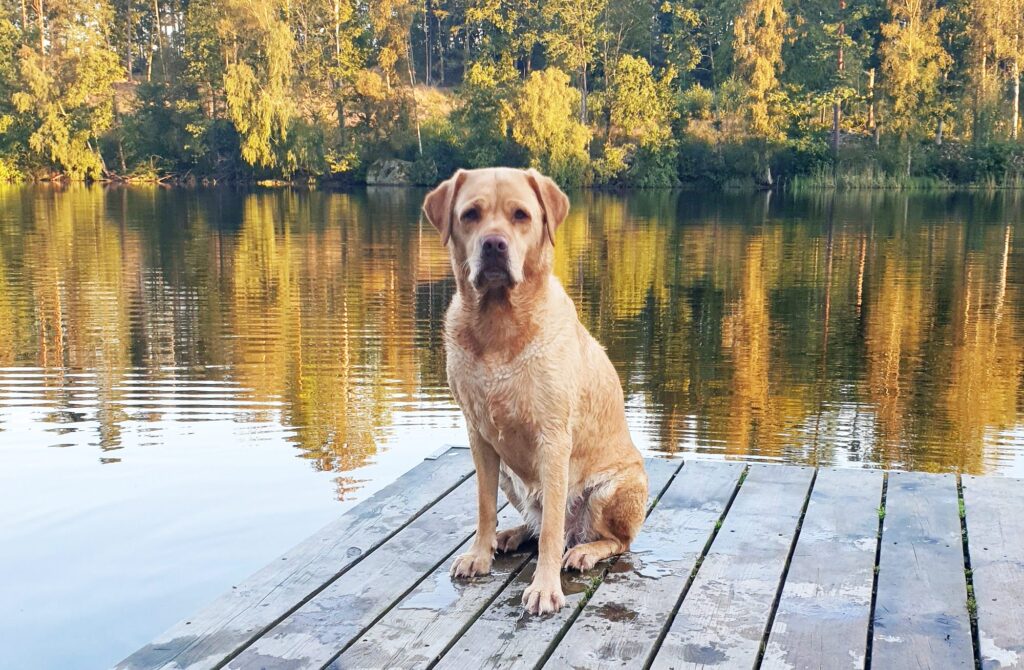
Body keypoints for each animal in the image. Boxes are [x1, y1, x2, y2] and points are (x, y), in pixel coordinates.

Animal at [421, 169, 647, 618]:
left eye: (520, 215)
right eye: (470, 214)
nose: (494, 244)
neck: (498, 329)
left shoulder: (553, 439)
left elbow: (550, 534)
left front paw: (544, 588)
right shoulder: (478, 437)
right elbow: (484, 507)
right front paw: (480, 554)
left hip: (616, 487)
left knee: (609, 539)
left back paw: (584, 551)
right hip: (512, 476)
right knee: (535, 522)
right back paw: (509, 535)